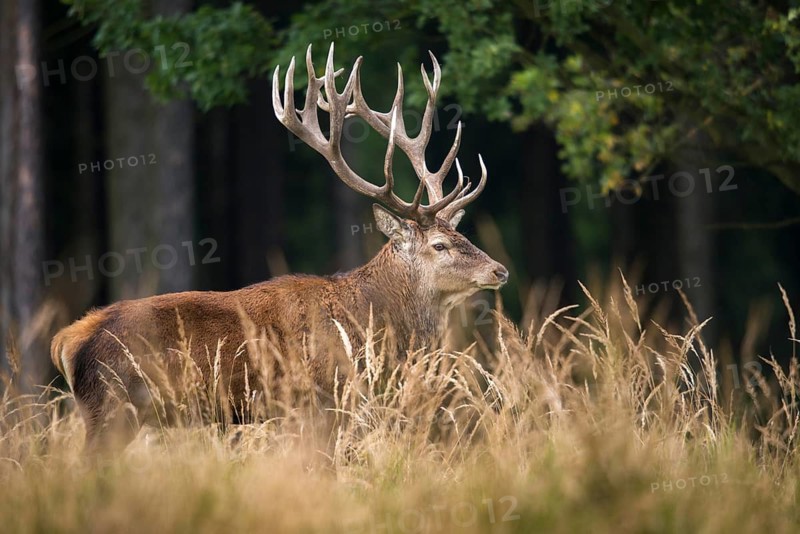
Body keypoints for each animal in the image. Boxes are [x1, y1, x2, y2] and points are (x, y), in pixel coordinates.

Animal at [50, 43, 509, 453]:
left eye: (464, 236)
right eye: (440, 245)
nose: (499, 270)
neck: (367, 322)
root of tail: (67, 341)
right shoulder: (320, 401)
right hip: (112, 409)